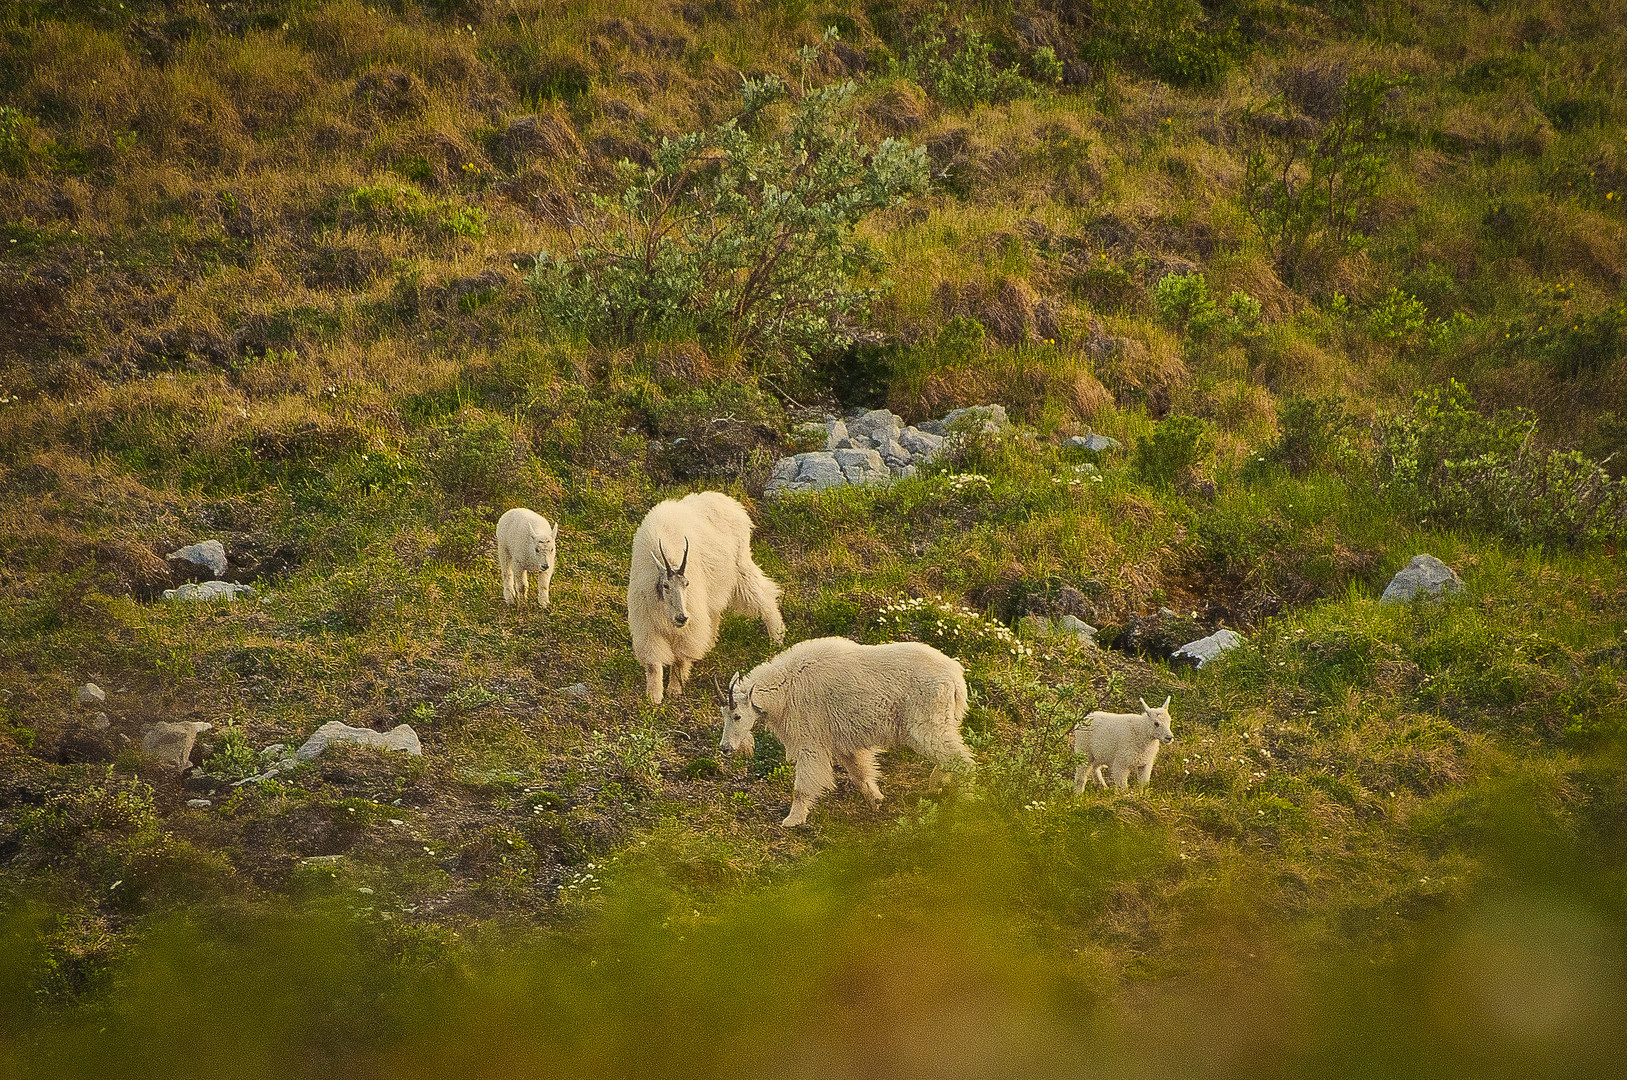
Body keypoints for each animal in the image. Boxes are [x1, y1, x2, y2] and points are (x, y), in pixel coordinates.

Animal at [624, 491, 784, 709]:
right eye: (666, 586)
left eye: (687, 584)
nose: (682, 617)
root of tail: (732, 504)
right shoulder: (647, 624)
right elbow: (653, 664)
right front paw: (654, 697)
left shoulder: (691, 619)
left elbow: (681, 657)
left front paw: (674, 689)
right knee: (715, 613)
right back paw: (710, 644)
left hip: (740, 566)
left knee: (763, 595)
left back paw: (777, 638)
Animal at [719, 634, 969, 826]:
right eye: (723, 714)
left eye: (737, 716)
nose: (725, 748)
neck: (785, 687)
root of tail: (956, 678)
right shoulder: (842, 742)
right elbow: (859, 772)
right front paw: (876, 800)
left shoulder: (810, 737)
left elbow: (804, 784)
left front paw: (792, 819)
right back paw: (936, 786)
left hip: (926, 720)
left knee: (959, 758)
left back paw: (966, 798)